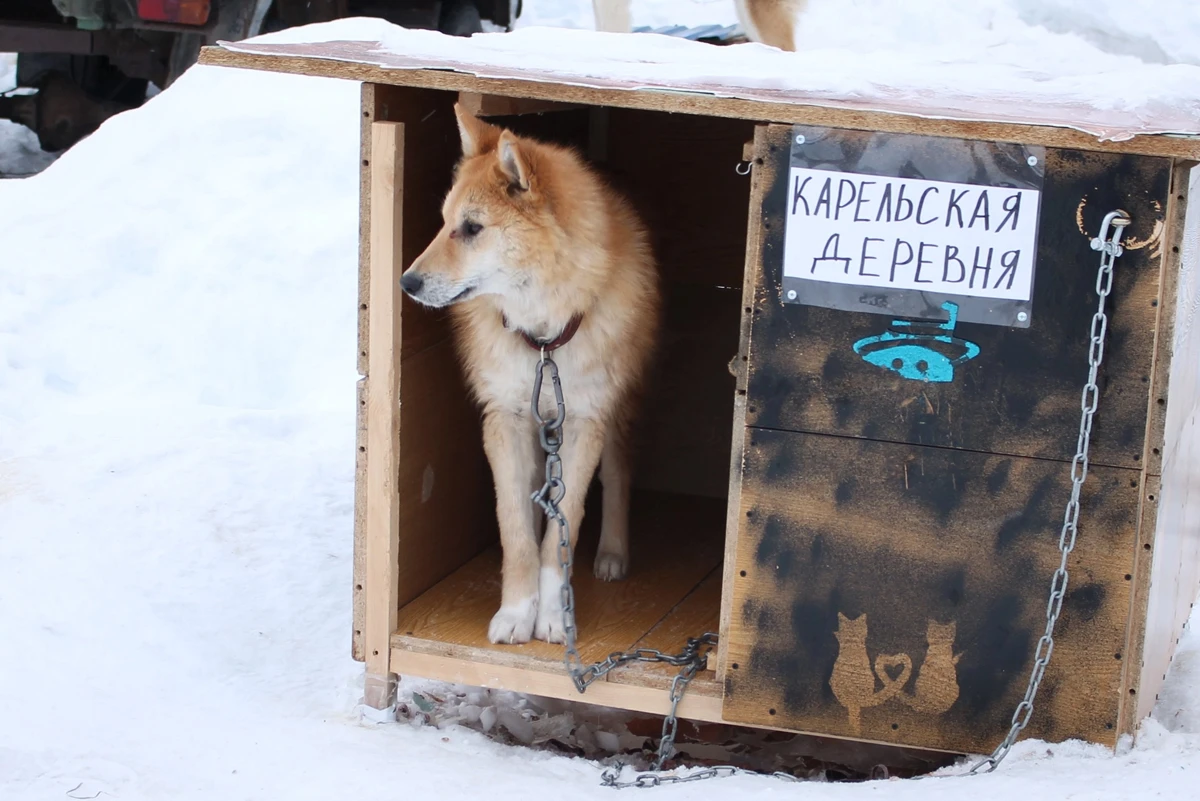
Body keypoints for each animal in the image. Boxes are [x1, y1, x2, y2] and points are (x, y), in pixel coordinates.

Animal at [398, 104, 662, 642]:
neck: (543, 340)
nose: (406, 283)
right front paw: (518, 612)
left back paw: (612, 552)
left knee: (619, 472)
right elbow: (516, 529)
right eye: (443, 222)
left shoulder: (585, 421)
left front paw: (555, 615)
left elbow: (567, 523)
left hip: (615, 413)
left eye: (472, 228)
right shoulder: (506, 419)